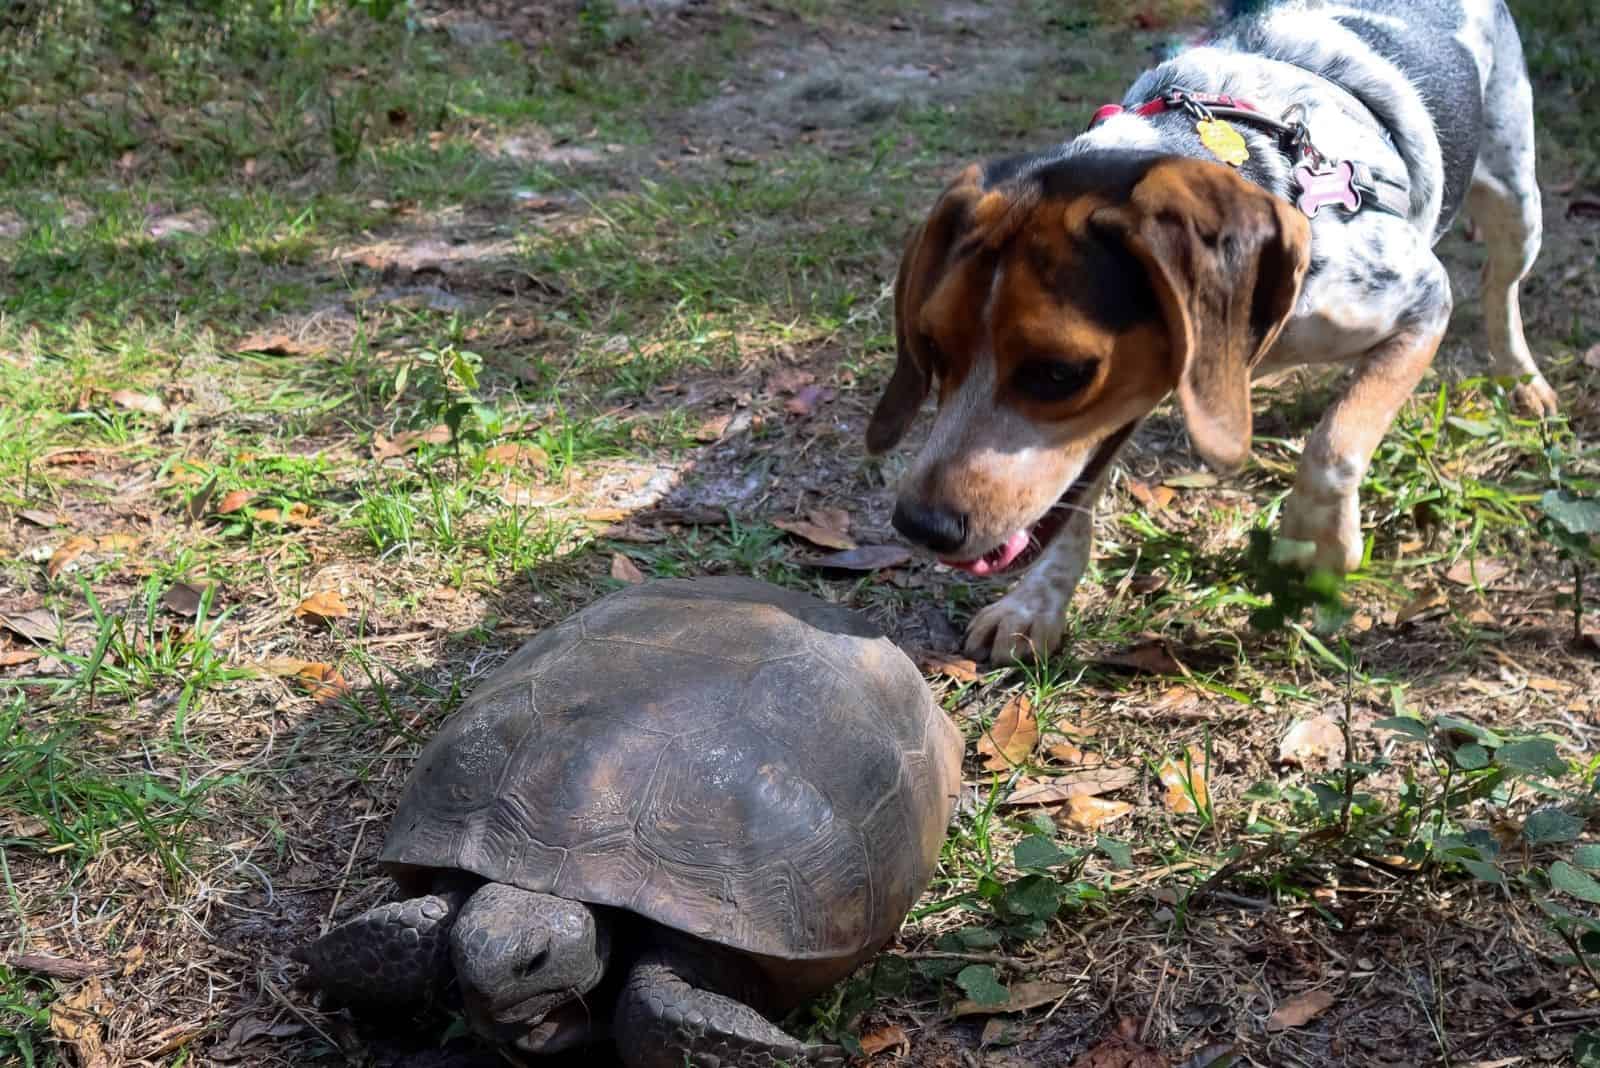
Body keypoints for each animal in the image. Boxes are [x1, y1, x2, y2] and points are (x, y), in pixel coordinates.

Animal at [870, 0, 1555, 661]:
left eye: (1061, 374)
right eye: (931, 350)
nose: (919, 526)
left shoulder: (1424, 301)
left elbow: (1334, 446)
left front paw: (1318, 549)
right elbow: (1069, 512)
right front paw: (1033, 605)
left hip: (1519, 202)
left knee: (1499, 284)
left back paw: (1523, 381)